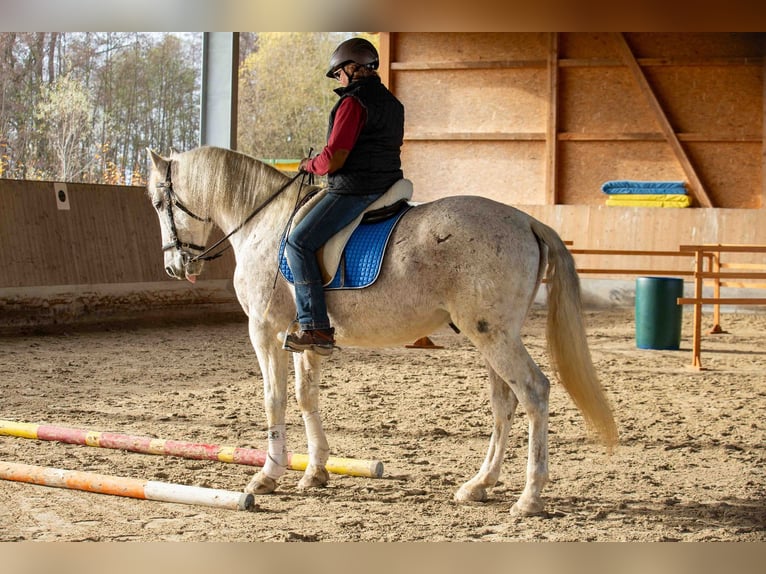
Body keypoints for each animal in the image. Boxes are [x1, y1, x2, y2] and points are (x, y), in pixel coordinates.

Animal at [146, 145, 618, 516]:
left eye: (157, 202)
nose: (173, 266)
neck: (265, 223)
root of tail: (526, 221)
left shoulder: (265, 330)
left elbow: (273, 398)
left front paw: (267, 475)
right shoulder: (305, 338)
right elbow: (305, 396)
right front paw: (315, 472)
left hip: (493, 336)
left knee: (534, 393)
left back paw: (529, 497)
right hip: (492, 337)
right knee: (505, 404)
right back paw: (478, 485)